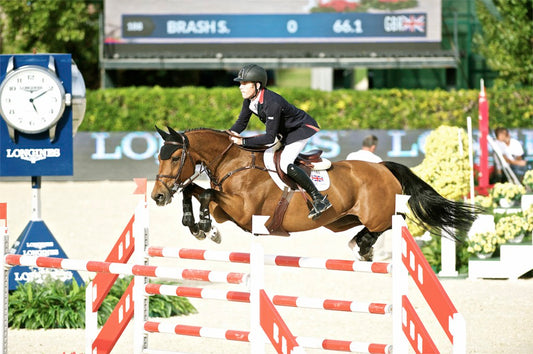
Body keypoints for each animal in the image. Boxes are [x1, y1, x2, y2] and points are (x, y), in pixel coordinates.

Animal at [150, 127, 478, 260]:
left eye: (175, 157)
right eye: (158, 157)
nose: (157, 197)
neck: (233, 163)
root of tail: (383, 167)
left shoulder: (243, 211)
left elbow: (205, 194)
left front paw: (204, 228)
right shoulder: (228, 210)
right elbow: (195, 190)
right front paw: (197, 226)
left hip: (380, 212)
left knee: (394, 221)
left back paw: (363, 247)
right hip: (341, 219)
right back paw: (360, 246)